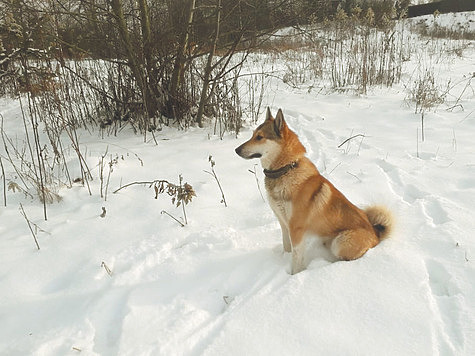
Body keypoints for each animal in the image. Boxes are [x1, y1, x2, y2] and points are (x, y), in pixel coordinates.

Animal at [234, 107, 394, 274]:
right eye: (252, 135)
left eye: (260, 137)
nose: (236, 149)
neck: (286, 170)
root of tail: (376, 233)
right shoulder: (284, 224)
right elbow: (287, 248)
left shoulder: (296, 229)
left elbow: (296, 260)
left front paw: (294, 276)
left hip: (340, 243)